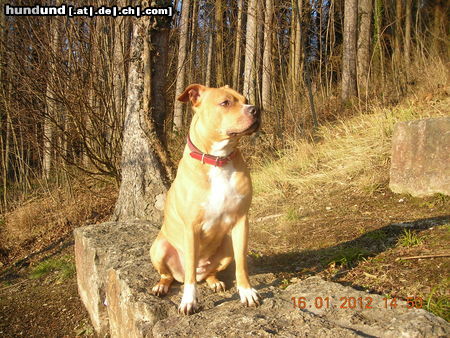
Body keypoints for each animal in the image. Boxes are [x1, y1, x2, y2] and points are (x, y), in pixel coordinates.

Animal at [150, 84, 262, 314]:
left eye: (245, 100)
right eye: (225, 102)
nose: (256, 109)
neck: (218, 159)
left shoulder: (241, 222)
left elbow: (242, 264)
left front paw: (246, 292)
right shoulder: (191, 228)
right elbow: (190, 274)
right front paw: (189, 301)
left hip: (227, 246)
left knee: (209, 272)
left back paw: (214, 281)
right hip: (158, 247)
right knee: (171, 275)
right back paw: (161, 286)